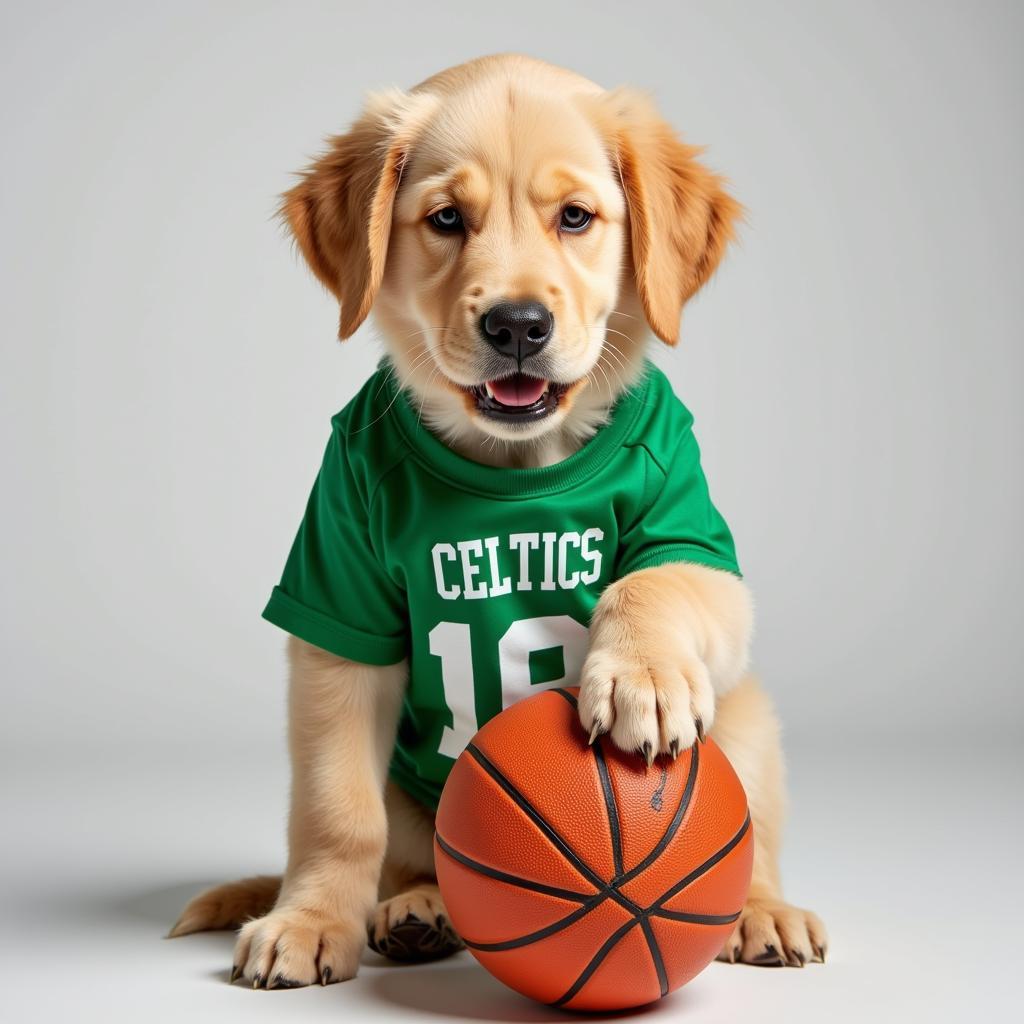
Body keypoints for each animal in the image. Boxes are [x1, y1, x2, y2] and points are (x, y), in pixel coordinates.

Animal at [167, 51, 823, 987]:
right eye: (446, 219)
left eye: (576, 217)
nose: (517, 324)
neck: (513, 463)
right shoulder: (335, 613)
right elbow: (335, 808)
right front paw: (310, 920)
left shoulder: (692, 529)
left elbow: (652, 584)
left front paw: (642, 679)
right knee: (411, 855)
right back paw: (416, 911)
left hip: (746, 713)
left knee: (751, 815)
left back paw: (764, 911)